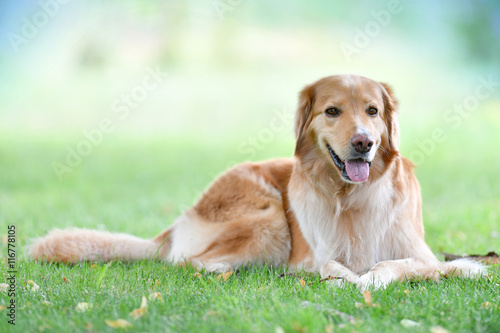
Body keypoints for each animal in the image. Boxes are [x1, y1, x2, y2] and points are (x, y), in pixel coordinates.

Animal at [30, 74, 484, 288]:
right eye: (332, 111)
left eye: (373, 111)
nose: (363, 143)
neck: (352, 197)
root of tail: (179, 220)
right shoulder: (315, 253)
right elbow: (331, 266)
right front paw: (346, 278)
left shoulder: (422, 255)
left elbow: (403, 264)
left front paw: (371, 278)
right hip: (269, 220)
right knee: (191, 261)